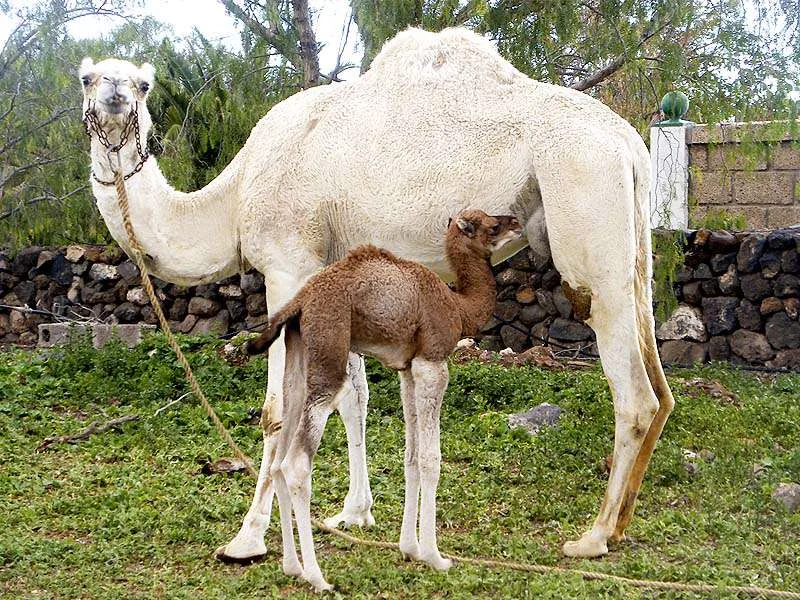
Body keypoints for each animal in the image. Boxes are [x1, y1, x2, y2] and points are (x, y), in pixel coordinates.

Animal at [245, 209, 523, 591]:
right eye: (492, 226)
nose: (517, 223)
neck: (458, 307)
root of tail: (300, 303)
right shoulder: (433, 362)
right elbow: (431, 459)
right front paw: (435, 556)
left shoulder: (408, 369)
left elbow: (411, 457)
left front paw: (411, 549)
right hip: (329, 357)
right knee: (296, 464)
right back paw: (318, 577)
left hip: (298, 358)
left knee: (278, 461)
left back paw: (293, 568)